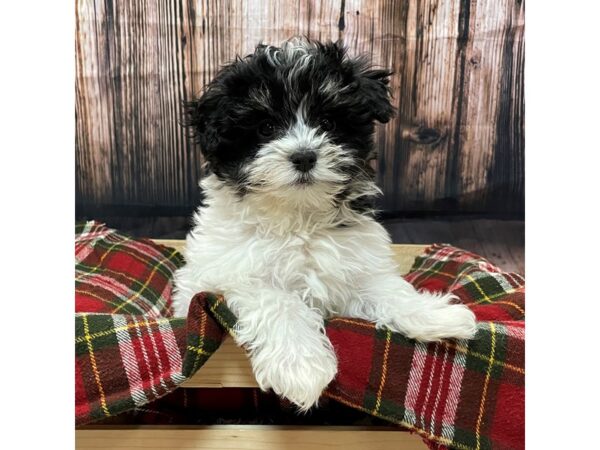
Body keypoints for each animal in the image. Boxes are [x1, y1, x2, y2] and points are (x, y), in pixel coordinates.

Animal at [171, 37, 476, 412]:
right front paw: (301, 366)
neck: (299, 217)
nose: (304, 156)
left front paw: (432, 315)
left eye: (328, 122)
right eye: (266, 128)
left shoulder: (354, 266)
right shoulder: (231, 278)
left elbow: (386, 288)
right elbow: (277, 301)